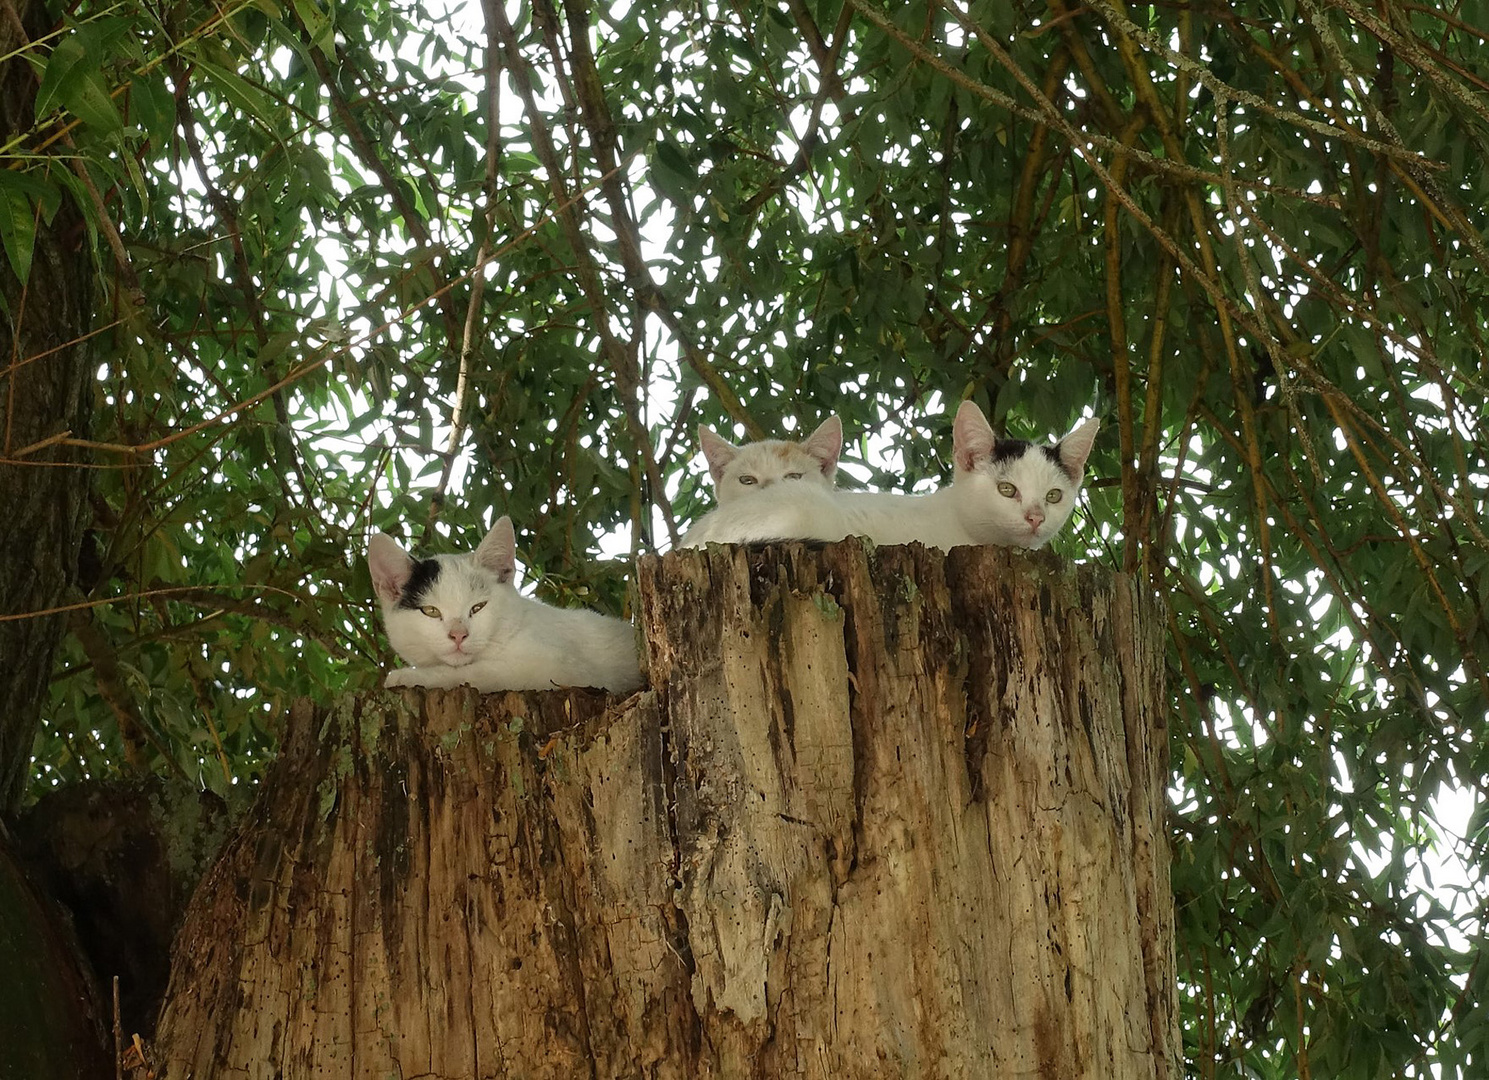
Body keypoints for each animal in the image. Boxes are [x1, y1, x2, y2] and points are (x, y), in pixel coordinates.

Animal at [369, 518, 643, 694]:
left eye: (478, 607)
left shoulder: (561, 670)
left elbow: (474, 673)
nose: (458, 635)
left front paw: (410, 676)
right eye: (431, 611)